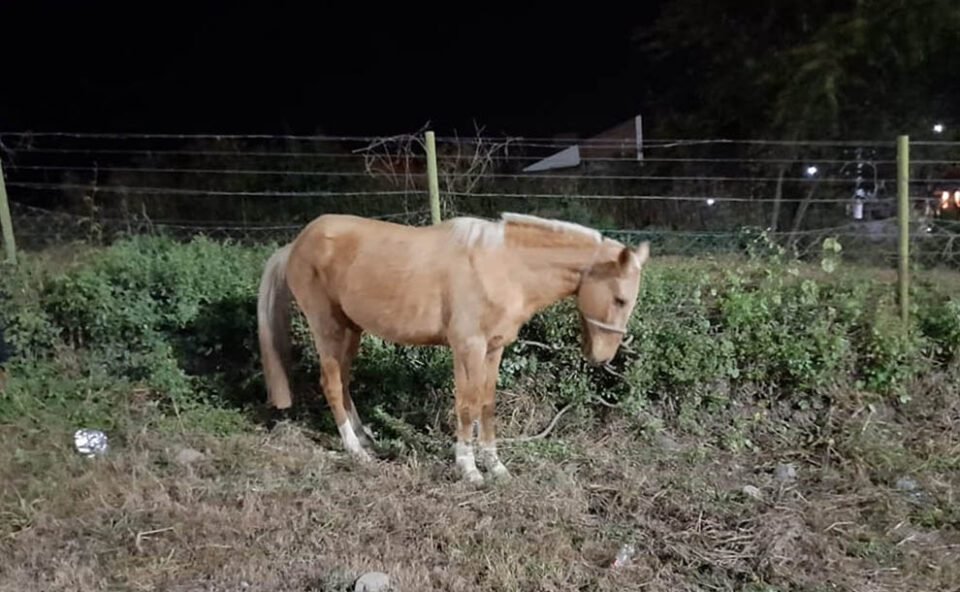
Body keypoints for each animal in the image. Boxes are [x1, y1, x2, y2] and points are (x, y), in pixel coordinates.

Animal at [256, 212, 650, 484]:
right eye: (619, 298)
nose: (602, 356)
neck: (501, 266)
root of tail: (296, 244)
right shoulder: (467, 348)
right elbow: (467, 405)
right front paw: (469, 468)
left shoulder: (493, 349)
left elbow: (487, 404)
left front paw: (496, 466)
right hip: (328, 327)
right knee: (331, 383)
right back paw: (355, 450)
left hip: (351, 330)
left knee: (344, 380)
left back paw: (366, 439)